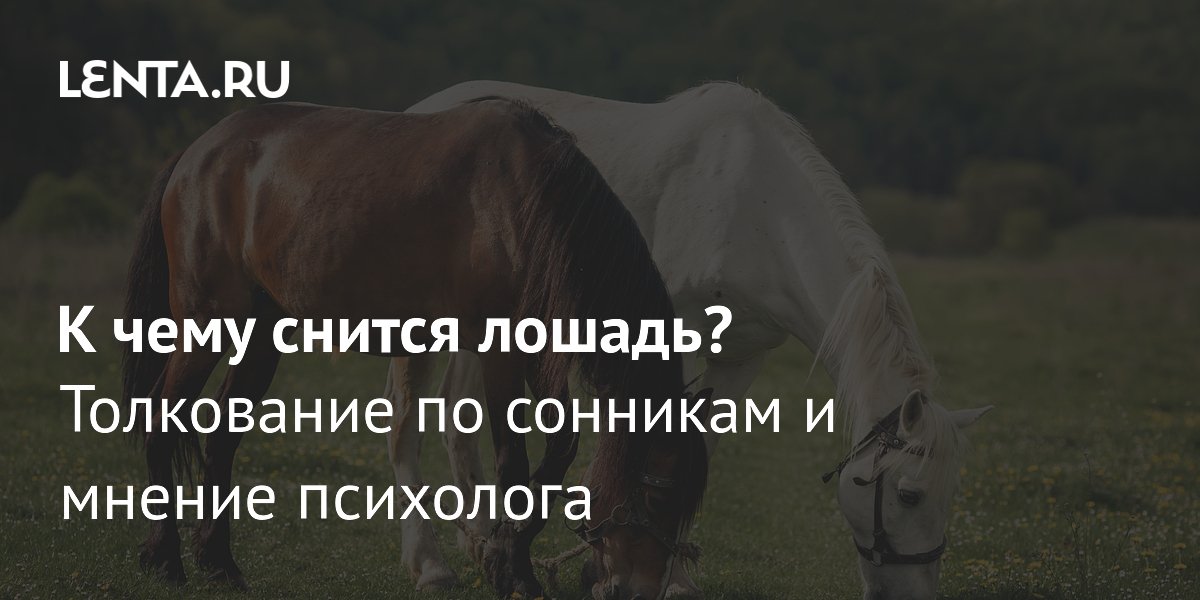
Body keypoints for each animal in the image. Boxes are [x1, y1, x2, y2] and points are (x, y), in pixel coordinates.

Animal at [121, 98, 708, 599]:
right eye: (658, 494)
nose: (638, 590)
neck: (525, 200)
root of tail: (197, 154)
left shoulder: (540, 354)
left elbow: (560, 449)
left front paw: (502, 557)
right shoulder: (499, 349)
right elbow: (513, 461)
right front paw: (512, 571)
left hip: (261, 335)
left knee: (221, 439)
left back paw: (219, 564)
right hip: (208, 322)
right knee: (162, 420)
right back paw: (166, 559)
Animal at [399, 81, 993, 600]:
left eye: (950, 496)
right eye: (909, 494)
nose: (913, 595)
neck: (755, 206)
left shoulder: (743, 356)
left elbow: (698, 446)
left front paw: (674, 576)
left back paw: (479, 541)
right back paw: (435, 564)